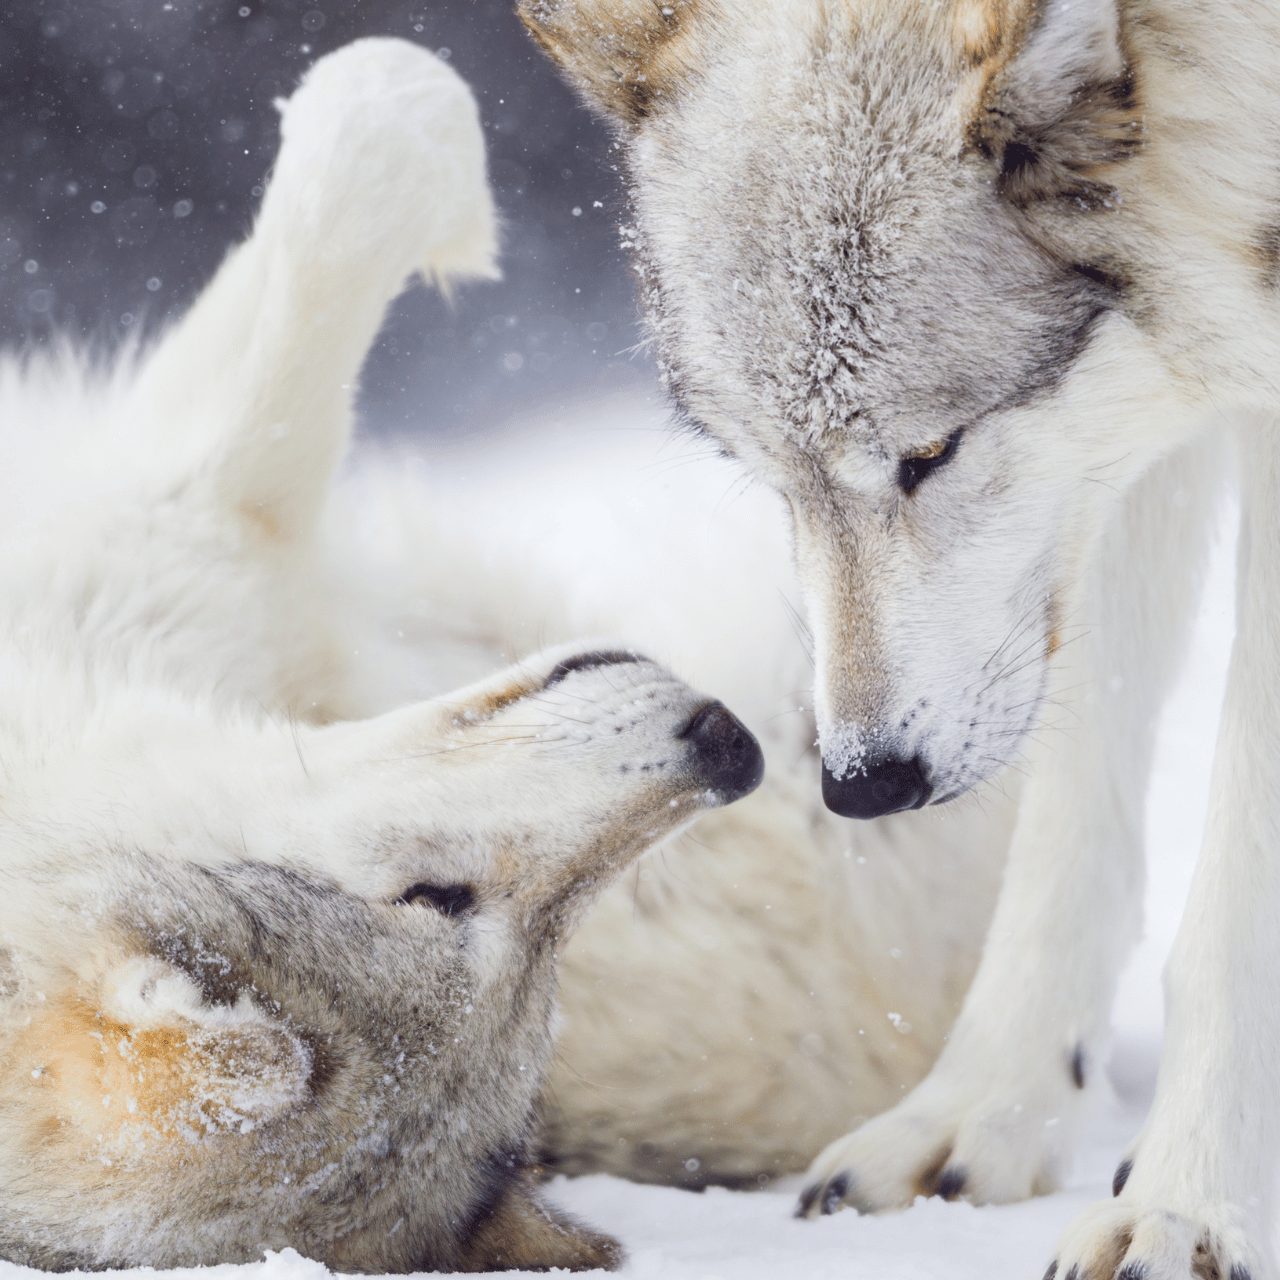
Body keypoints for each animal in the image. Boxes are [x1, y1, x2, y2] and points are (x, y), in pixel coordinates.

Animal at [0, 38, 766, 1272]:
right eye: (437, 899)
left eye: (545, 985)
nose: (727, 746)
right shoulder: (178, 515)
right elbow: (372, 135)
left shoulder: (184, 524)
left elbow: (374, 113)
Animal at [519, 0, 1280, 1277]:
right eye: (766, 477)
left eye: (927, 452)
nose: (861, 785)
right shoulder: (1123, 457)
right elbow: (1067, 824)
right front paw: (979, 1113)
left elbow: (1233, 894)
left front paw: (1184, 1200)